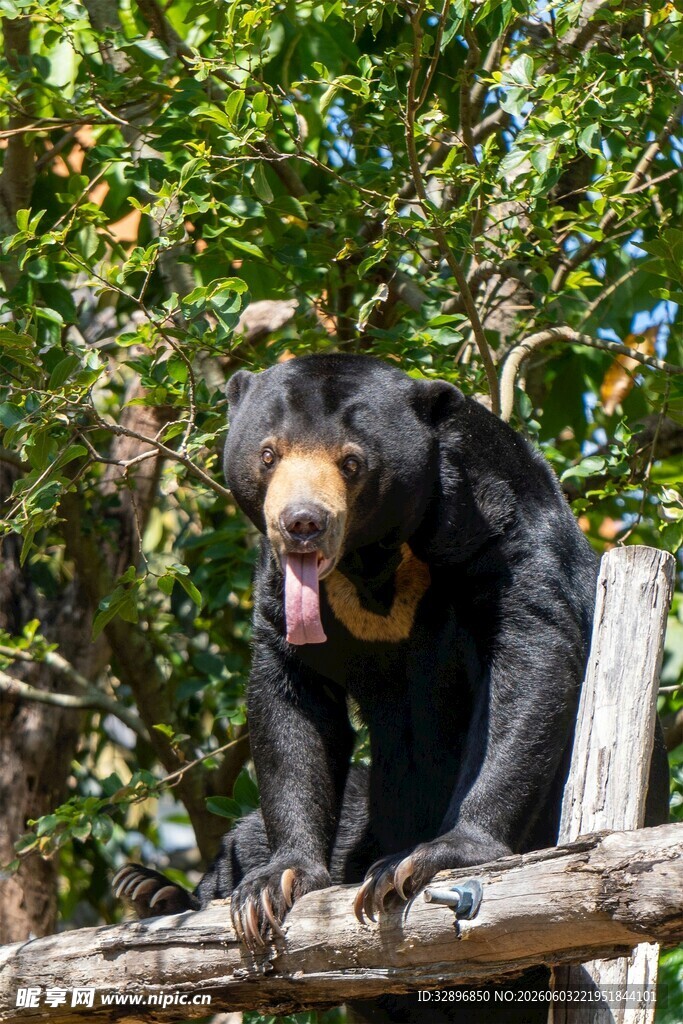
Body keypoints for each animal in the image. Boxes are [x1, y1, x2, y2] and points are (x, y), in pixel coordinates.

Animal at [114, 353, 669, 1021]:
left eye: (352, 461)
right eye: (268, 453)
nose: (301, 524)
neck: (372, 558)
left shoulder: (501, 527)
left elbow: (530, 658)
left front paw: (426, 860)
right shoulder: (277, 587)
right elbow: (291, 696)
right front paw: (274, 885)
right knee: (247, 833)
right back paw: (153, 891)